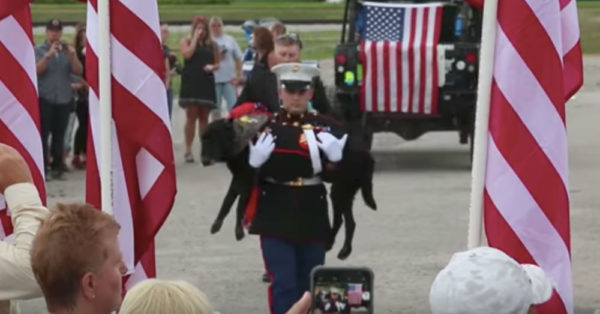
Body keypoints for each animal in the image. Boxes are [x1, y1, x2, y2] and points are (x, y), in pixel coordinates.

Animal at [202, 116, 376, 258]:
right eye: (203, 138)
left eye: (213, 138)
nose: (204, 161)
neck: (244, 138)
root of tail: (365, 151)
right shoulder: (238, 179)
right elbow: (227, 201)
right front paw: (216, 225)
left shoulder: (247, 180)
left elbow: (239, 205)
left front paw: (238, 231)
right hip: (343, 191)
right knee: (344, 220)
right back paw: (334, 246)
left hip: (341, 190)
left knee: (346, 221)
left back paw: (342, 249)